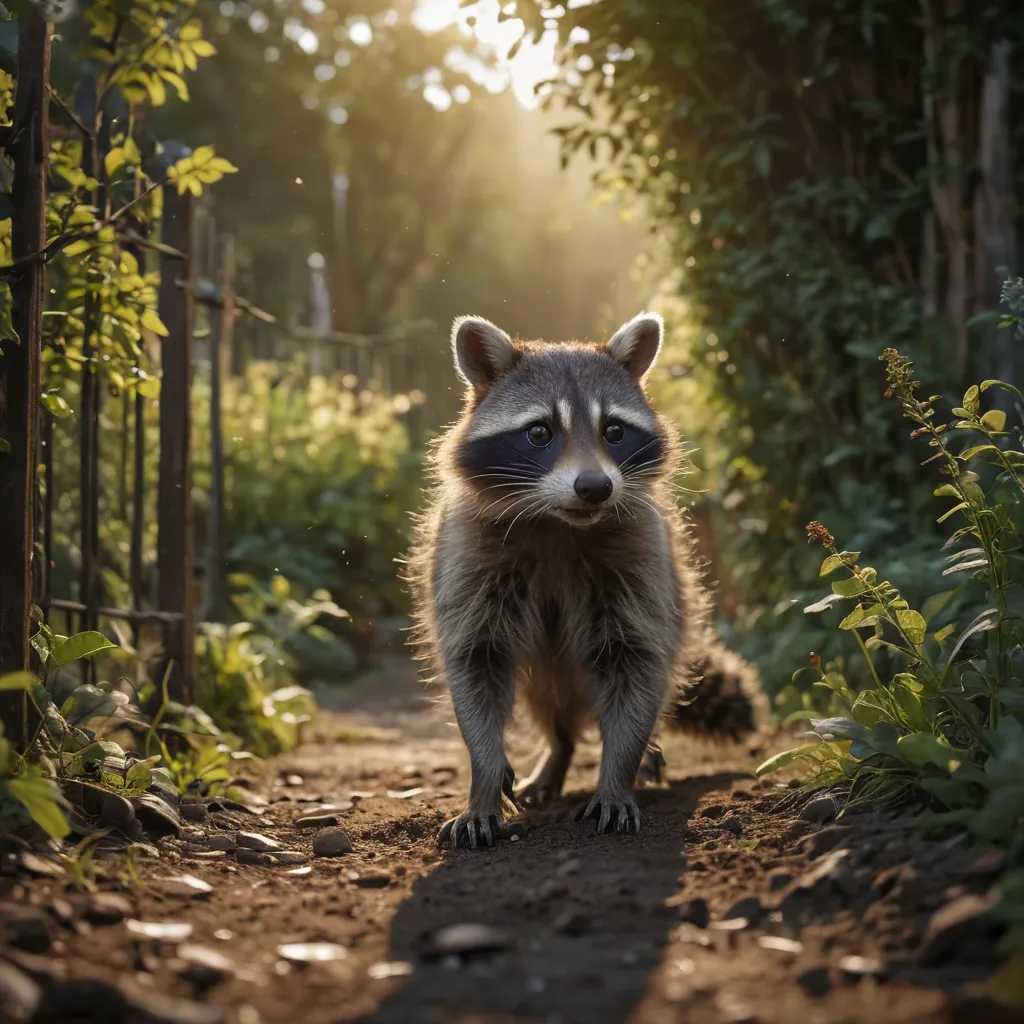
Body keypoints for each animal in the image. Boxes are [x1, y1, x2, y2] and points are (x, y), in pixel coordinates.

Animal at [405, 312, 764, 849]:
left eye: (613, 430)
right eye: (539, 432)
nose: (595, 487)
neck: (558, 522)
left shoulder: (640, 560)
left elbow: (637, 660)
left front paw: (618, 774)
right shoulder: (467, 558)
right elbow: (475, 662)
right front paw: (483, 781)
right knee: (548, 705)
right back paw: (558, 751)